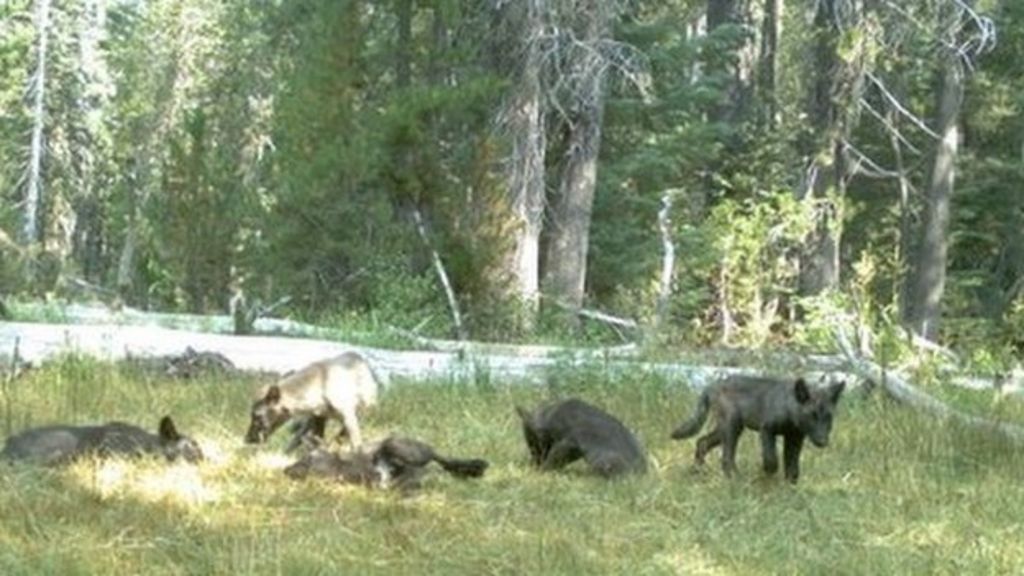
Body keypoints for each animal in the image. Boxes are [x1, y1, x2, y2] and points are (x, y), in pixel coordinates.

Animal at [245, 351, 380, 451]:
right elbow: (314, 441)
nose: (247, 439)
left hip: (364, 409)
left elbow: (355, 443)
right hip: (312, 421)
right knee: (298, 437)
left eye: (257, 415)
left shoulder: (348, 414)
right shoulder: (318, 417)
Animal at [670, 375, 845, 483]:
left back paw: (696, 472)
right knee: (726, 457)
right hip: (732, 427)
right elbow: (771, 459)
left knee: (702, 442)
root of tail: (711, 385)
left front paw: (790, 489)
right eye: (811, 416)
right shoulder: (766, 429)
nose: (823, 442)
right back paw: (736, 480)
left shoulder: (794, 439)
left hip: (725, 429)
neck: (789, 409)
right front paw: (766, 476)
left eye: (828, 417)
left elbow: (793, 468)